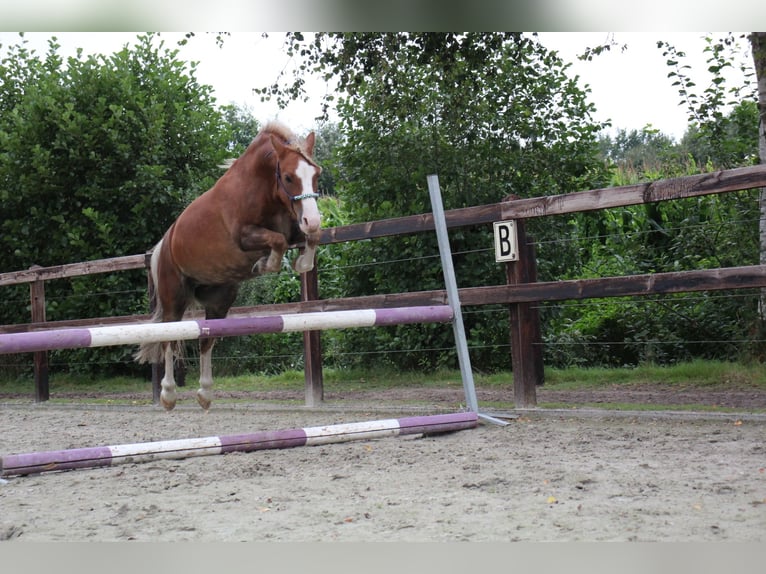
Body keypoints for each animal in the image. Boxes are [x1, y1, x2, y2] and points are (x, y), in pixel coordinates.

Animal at [135, 122, 322, 411]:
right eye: (289, 177)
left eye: (316, 175)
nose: (313, 219)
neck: (263, 188)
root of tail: (163, 245)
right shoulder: (244, 237)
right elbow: (277, 242)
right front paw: (266, 264)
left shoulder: (295, 227)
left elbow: (310, 238)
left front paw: (302, 262)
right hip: (173, 298)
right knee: (168, 339)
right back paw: (168, 394)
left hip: (219, 301)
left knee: (206, 340)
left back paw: (205, 393)